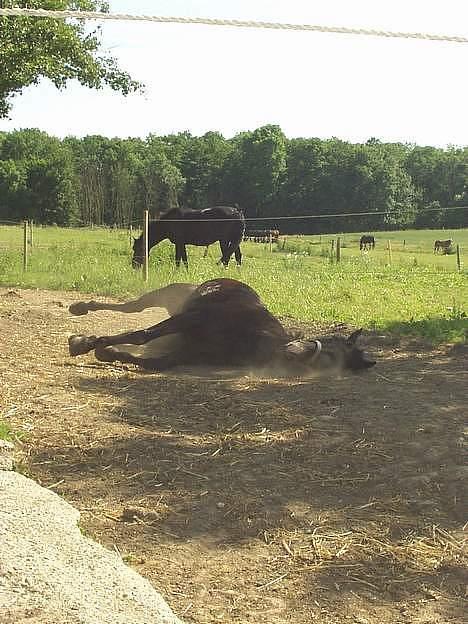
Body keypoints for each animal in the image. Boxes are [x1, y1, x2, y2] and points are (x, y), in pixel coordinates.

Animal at [67, 280, 376, 376]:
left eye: (333, 362)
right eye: (333, 345)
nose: (294, 352)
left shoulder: (189, 353)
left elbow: (151, 361)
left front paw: (106, 352)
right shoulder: (191, 319)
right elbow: (141, 335)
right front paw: (84, 342)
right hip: (166, 296)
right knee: (133, 308)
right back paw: (80, 308)